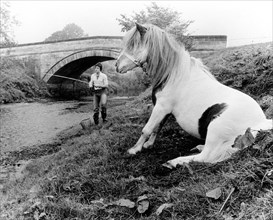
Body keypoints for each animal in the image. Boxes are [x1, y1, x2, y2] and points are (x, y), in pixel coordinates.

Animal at [115, 23, 272, 168]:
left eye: (132, 45)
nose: (116, 66)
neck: (174, 76)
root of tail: (261, 122)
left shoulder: (161, 108)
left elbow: (147, 129)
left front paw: (135, 149)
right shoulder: (164, 110)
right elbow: (157, 127)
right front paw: (148, 144)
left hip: (215, 127)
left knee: (206, 156)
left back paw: (174, 162)